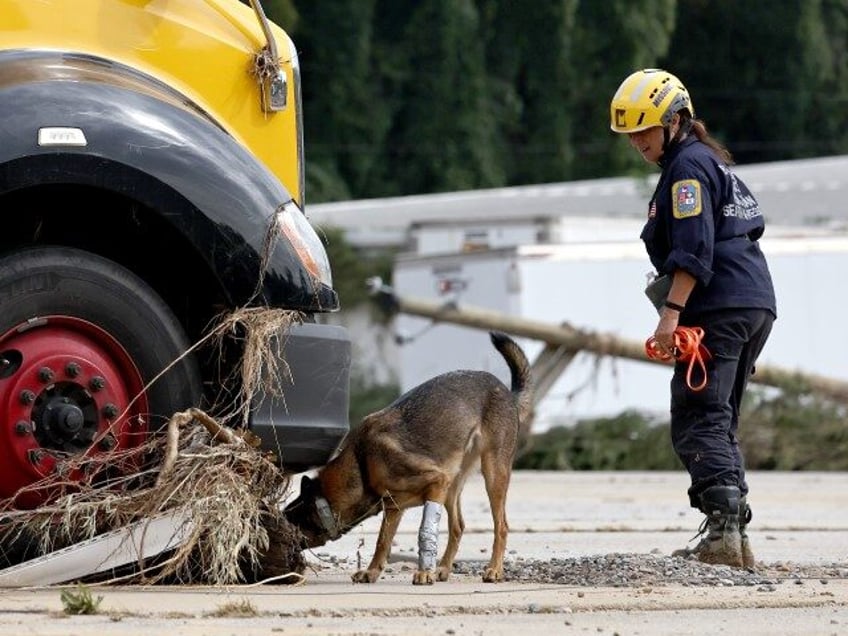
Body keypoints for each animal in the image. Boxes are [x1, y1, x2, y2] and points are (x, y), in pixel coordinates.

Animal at [288, 332, 532, 588]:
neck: (363, 463)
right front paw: (372, 571)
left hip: (492, 475)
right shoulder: (395, 508)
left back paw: (494, 569)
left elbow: (425, 532)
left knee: (501, 526)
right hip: (452, 484)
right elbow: (382, 541)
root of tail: (507, 392)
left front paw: (424, 573)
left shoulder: (435, 483)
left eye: (290, 520)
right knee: (457, 526)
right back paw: (444, 568)